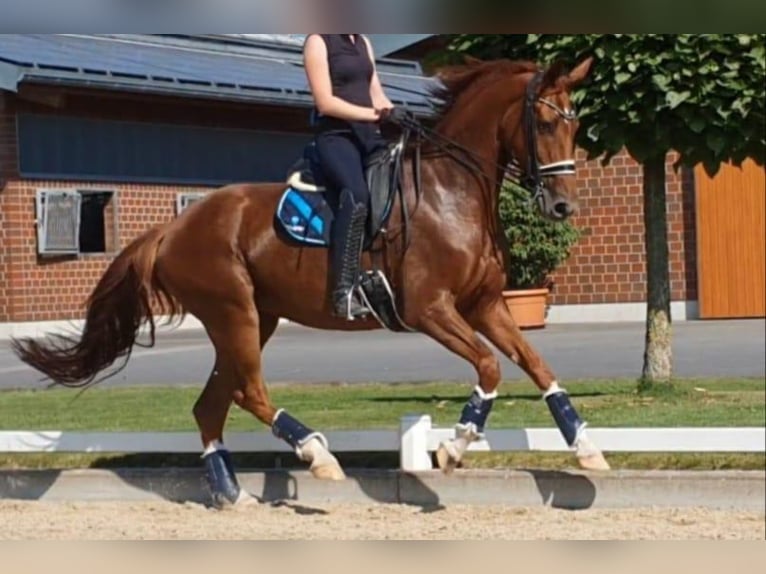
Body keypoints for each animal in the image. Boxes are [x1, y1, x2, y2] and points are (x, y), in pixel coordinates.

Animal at [12, 55, 609, 509]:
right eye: (547, 124)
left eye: (575, 126)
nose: (562, 207)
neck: (451, 191)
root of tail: (172, 229)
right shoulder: (430, 310)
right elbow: (489, 367)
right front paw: (453, 447)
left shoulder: (486, 304)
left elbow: (538, 367)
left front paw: (586, 449)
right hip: (235, 313)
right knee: (249, 392)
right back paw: (319, 456)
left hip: (255, 318)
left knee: (211, 405)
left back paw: (233, 495)